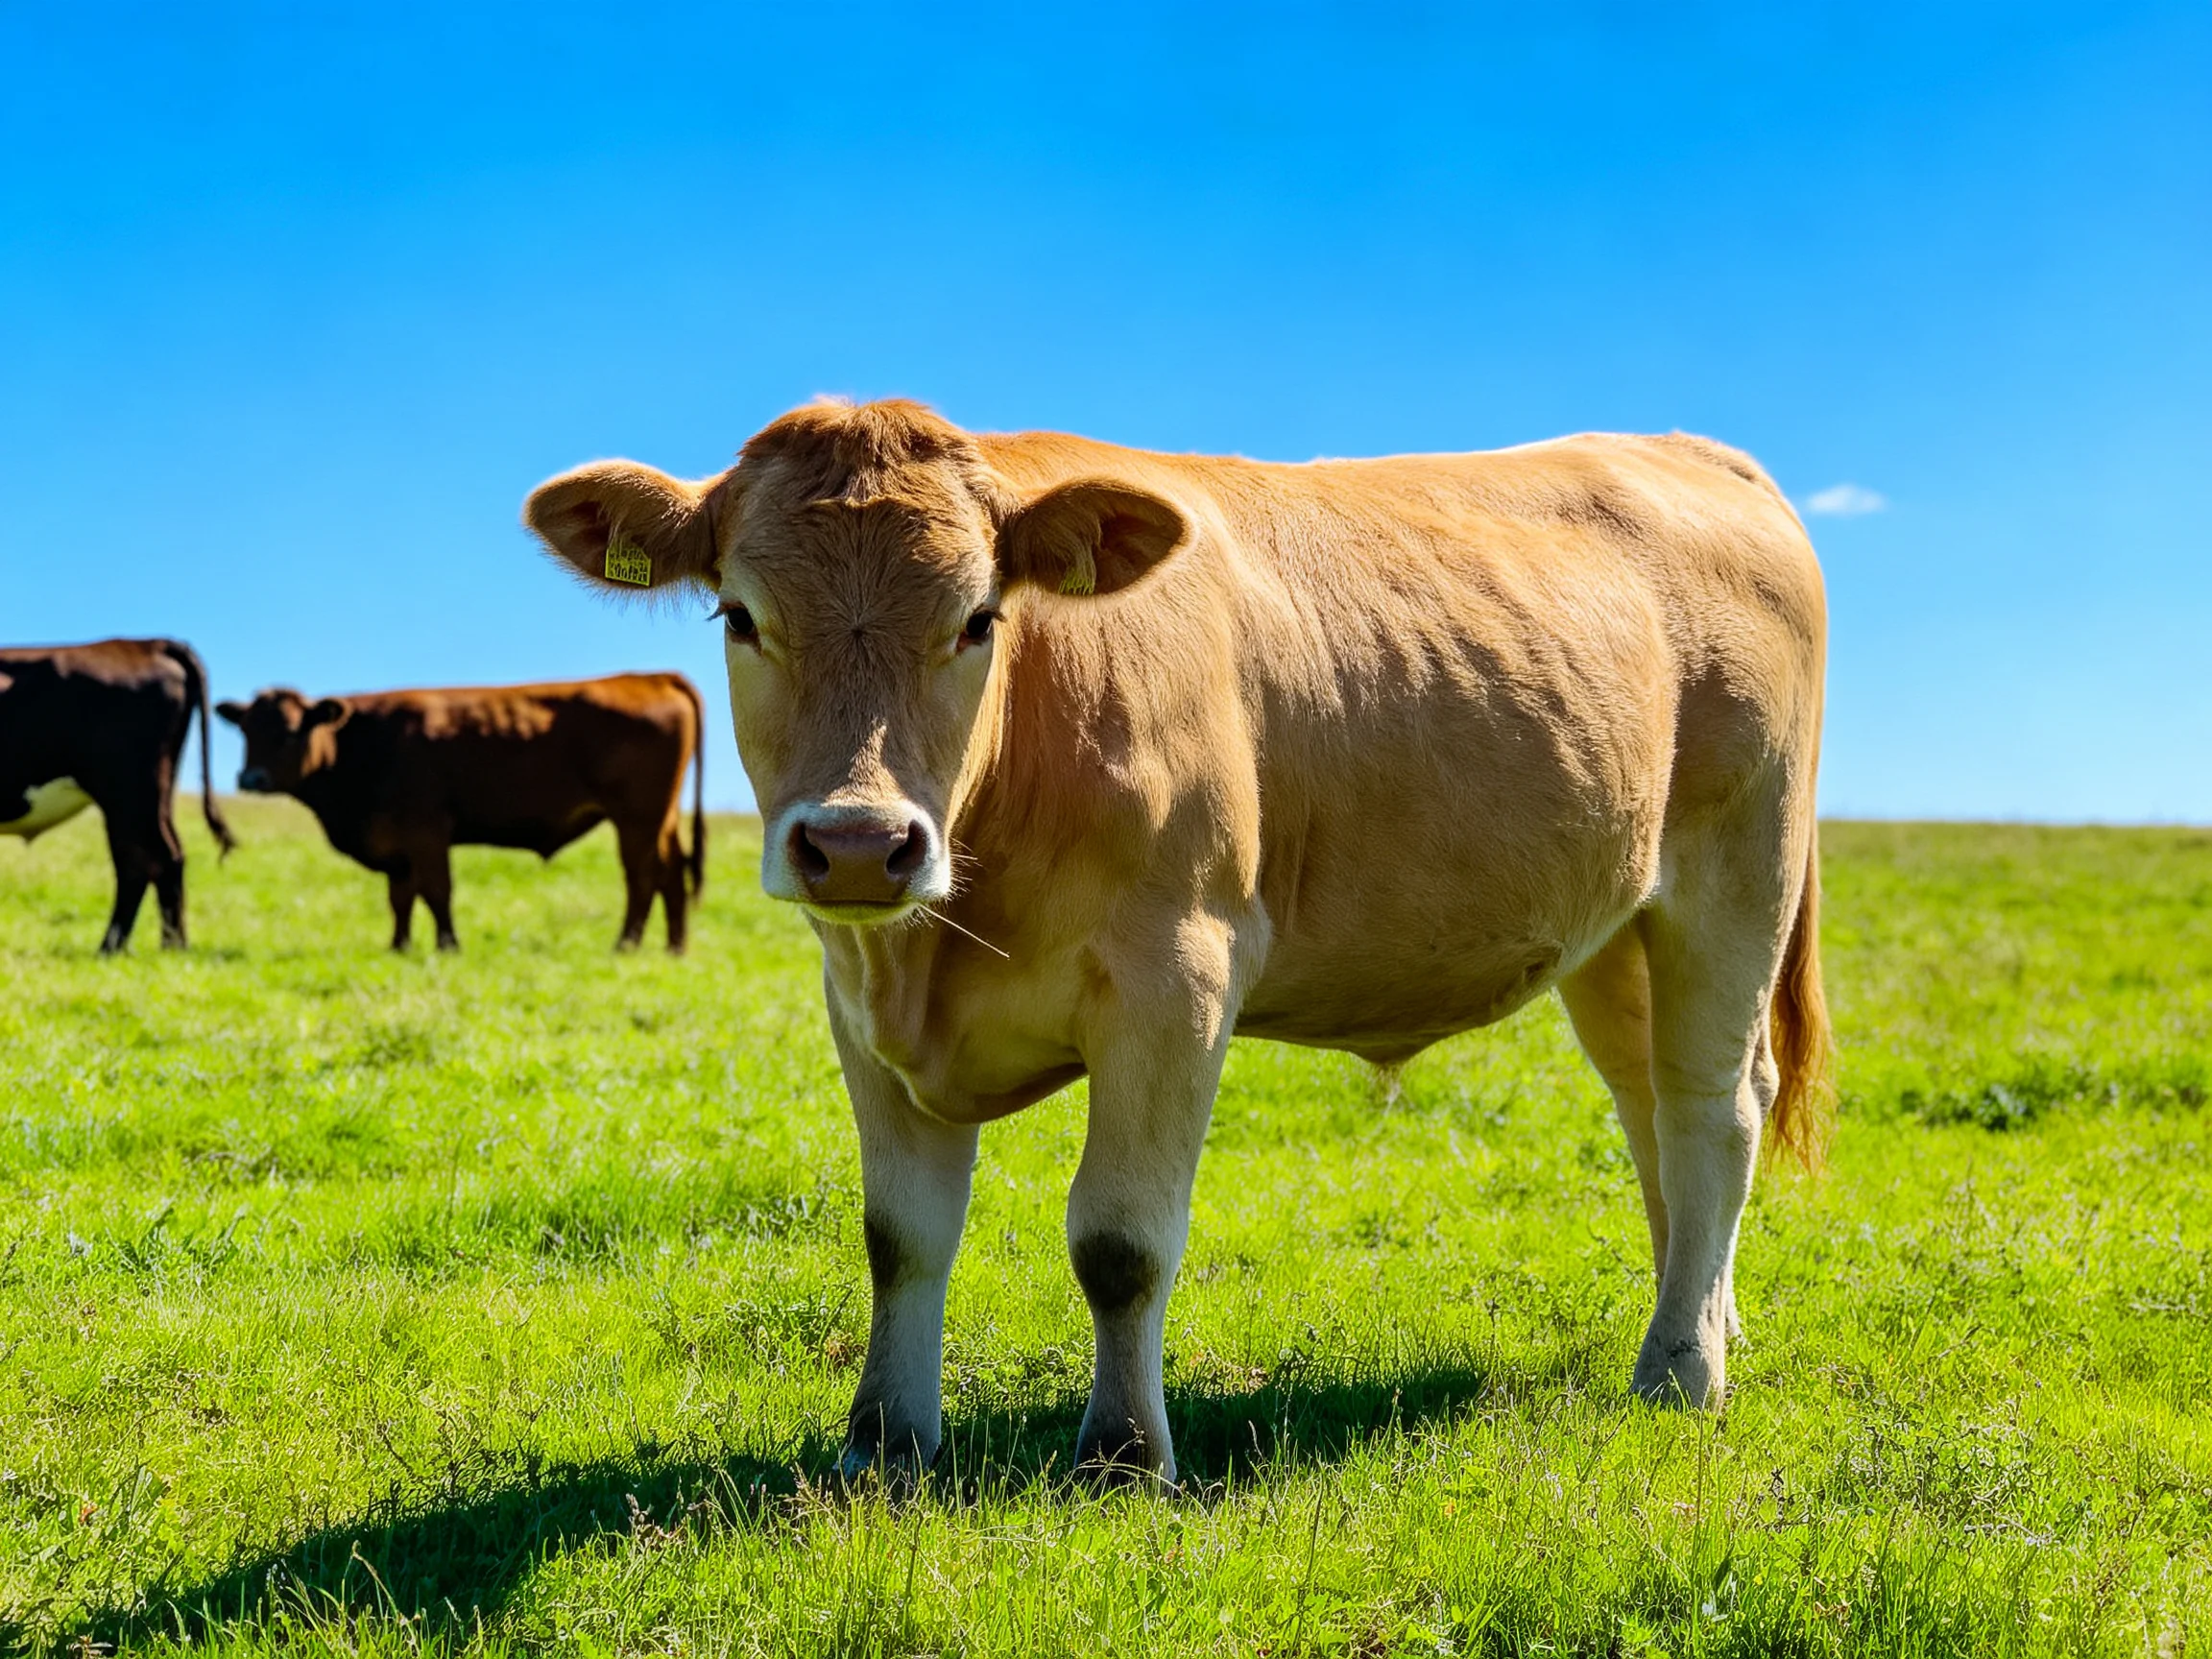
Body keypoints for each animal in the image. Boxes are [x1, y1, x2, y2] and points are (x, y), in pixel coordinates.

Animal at [1, 637, 236, 952]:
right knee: (140, 860)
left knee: (157, 858)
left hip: (129, 793)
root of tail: (146, 644)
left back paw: (157, 947)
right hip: (150, 797)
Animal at [215, 674, 706, 953]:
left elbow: (436, 892)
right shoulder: (397, 843)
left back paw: (626, 944)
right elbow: (400, 898)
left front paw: (448, 946)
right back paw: (674, 946)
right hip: (662, 818)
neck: (364, 745)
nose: (250, 778)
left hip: (638, 817)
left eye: (290, 731)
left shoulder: (426, 831)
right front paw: (399, 947)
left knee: (643, 877)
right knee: (672, 873)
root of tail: (651, 677)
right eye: (246, 730)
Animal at [524, 398, 1832, 1489]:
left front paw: (1120, 1456)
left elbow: (1120, 1240)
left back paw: (1680, 1371)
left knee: (1715, 1108)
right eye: (740, 616)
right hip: (1616, 926)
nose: (856, 844)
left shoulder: (1176, 980)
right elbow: (899, 1238)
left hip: (1736, 871)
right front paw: (883, 1447)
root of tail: (1690, 450)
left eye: (979, 618)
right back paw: (1706, 1317)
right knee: (1655, 1109)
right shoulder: (859, 1001)